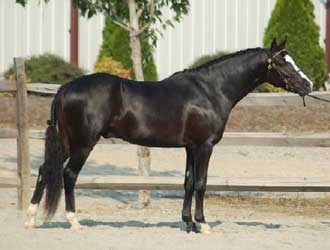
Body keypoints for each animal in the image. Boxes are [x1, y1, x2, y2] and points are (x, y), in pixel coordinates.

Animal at [25, 38, 312, 232]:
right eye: (283, 63)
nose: (308, 84)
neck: (211, 90)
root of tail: (65, 88)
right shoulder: (205, 146)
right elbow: (201, 183)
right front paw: (203, 224)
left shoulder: (190, 147)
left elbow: (188, 182)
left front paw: (188, 223)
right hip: (84, 143)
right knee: (68, 174)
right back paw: (73, 221)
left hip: (66, 141)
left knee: (45, 170)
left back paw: (31, 218)